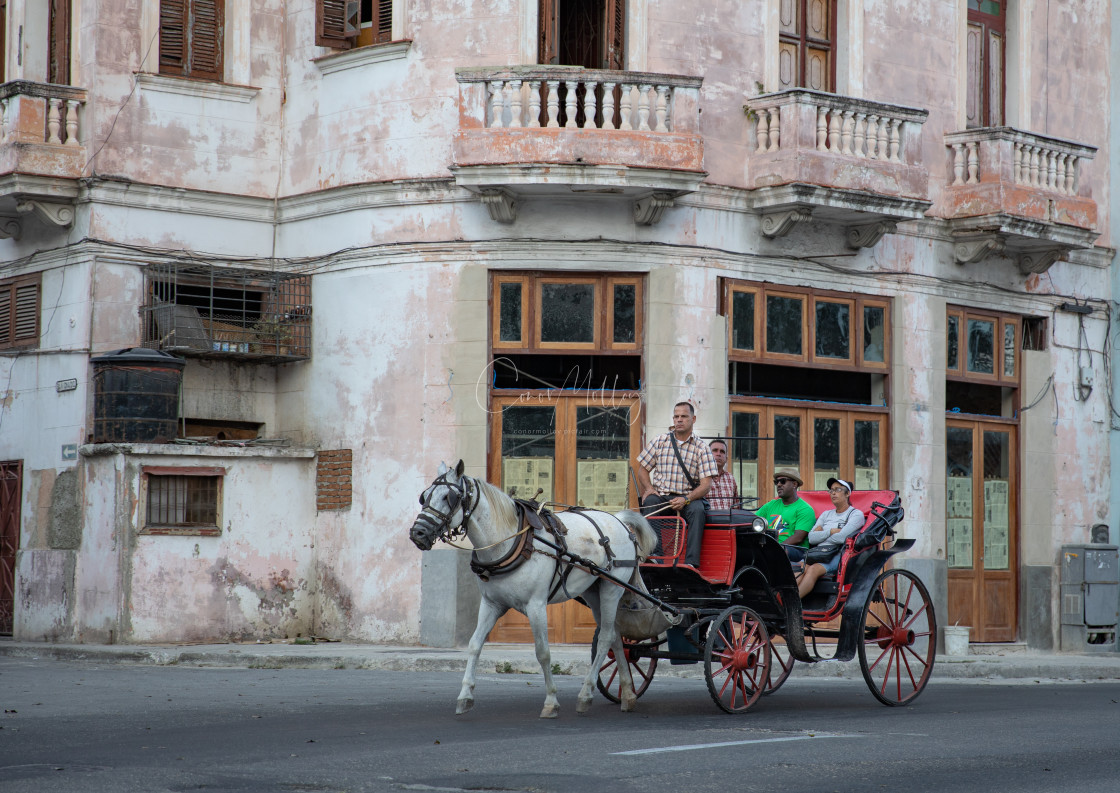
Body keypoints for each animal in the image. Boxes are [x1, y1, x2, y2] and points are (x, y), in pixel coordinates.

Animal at [409, 459, 654, 716]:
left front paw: (551, 701)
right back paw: (628, 694)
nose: (418, 533)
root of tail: (619, 520)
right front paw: (465, 695)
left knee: (606, 637)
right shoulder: (491, 604)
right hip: (592, 591)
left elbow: (543, 652)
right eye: (424, 496)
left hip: (611, 588)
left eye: (449, 497)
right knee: (616, 636)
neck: (510, 540)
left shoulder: (536, 605)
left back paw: (586, 693)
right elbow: (475, 645)